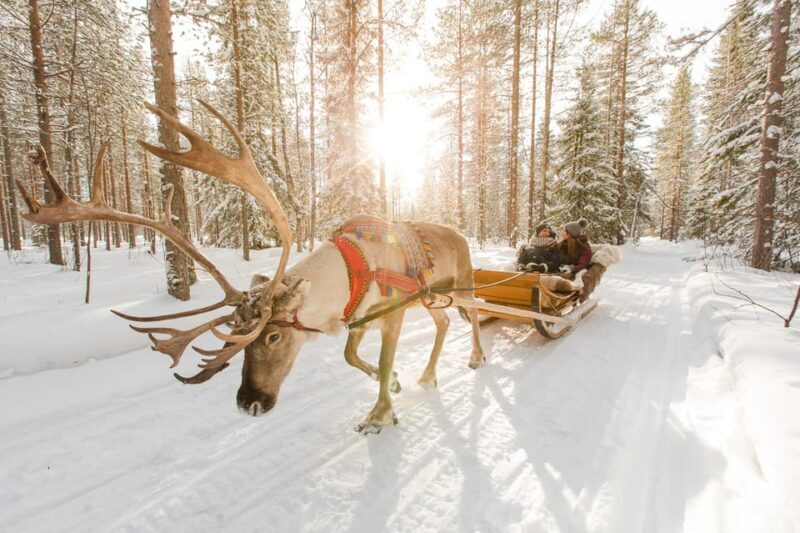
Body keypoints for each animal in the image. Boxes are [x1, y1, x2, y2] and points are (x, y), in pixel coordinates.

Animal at [16, 101, 486, 434]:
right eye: (236, 336)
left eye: (273, 335)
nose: (249, 404)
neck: (353, 272)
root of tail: (460, 232)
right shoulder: (358, 318)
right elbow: (353, 357)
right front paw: (393, 382)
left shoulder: (391, 314)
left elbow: (384, 363)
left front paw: (379, 413)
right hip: (433, 300)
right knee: (445, 323)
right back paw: (428, 374)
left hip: (460, 283)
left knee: (474, 313)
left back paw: (476, 357)